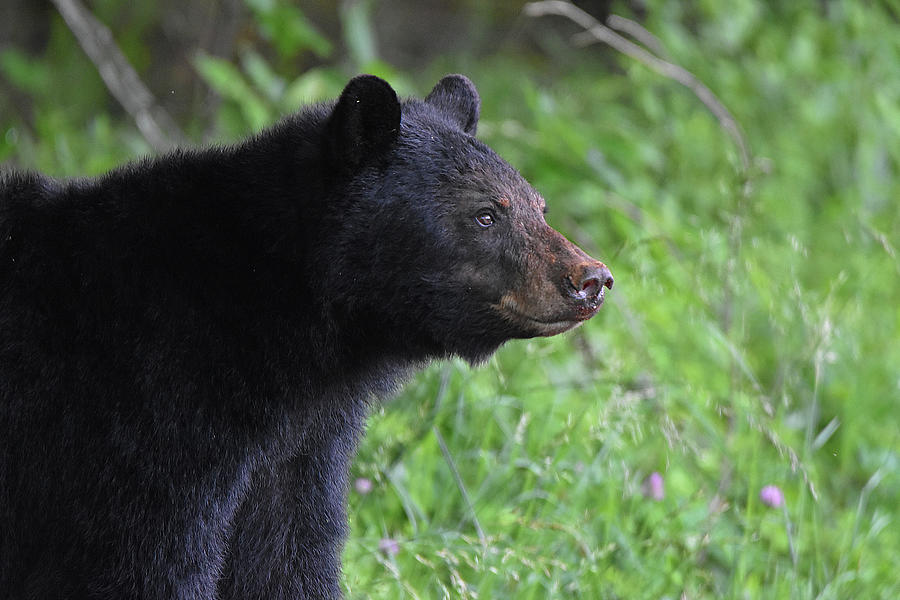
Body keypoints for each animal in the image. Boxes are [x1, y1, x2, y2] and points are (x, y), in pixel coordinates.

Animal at [0, 72, 612, 596]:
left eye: (539, 207)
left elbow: (284, 556)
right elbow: (142, 561)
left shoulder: (295, 447)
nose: (592, 279)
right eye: (486, 213)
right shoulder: (141, 419)